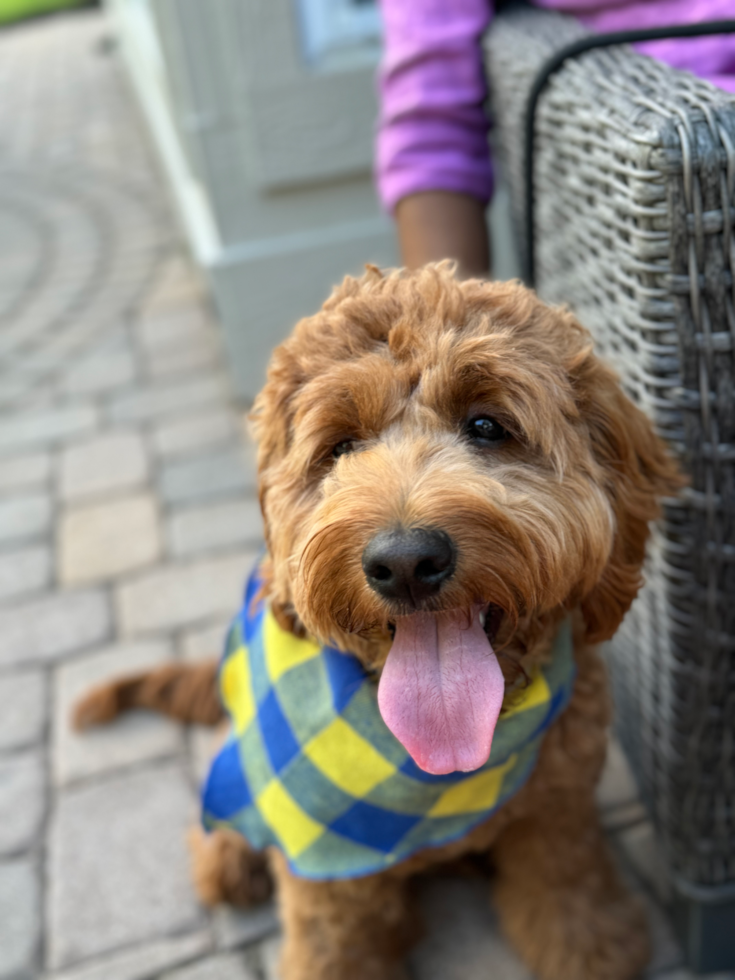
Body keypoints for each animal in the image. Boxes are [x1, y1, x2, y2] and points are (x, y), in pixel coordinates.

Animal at [75, 262, 680, 980]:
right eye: (339, 447)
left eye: (486, 425)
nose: (406, 561)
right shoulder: (326, 876)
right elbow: (334, 945)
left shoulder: (558, 808)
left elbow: (565, 881)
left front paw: (589, 947)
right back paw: (227, 861)